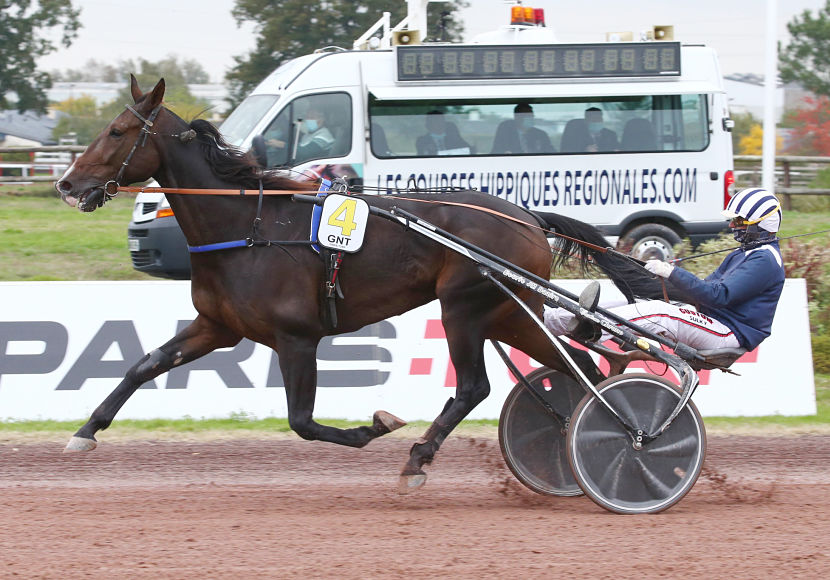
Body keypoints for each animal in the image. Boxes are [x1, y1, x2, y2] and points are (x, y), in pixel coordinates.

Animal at [55, 76, 664, 494]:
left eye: (116, 132)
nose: (66, 183)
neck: (246, 227)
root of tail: (527, 216)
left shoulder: (296, 338)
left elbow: (302, 422)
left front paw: (375, 426)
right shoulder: (216, 326)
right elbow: (143, 365)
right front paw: (85, 431)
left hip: (464, 306)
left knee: (475, 387)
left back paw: (420, 458)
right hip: (511, 311)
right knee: (581, 368)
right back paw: (595, 442)